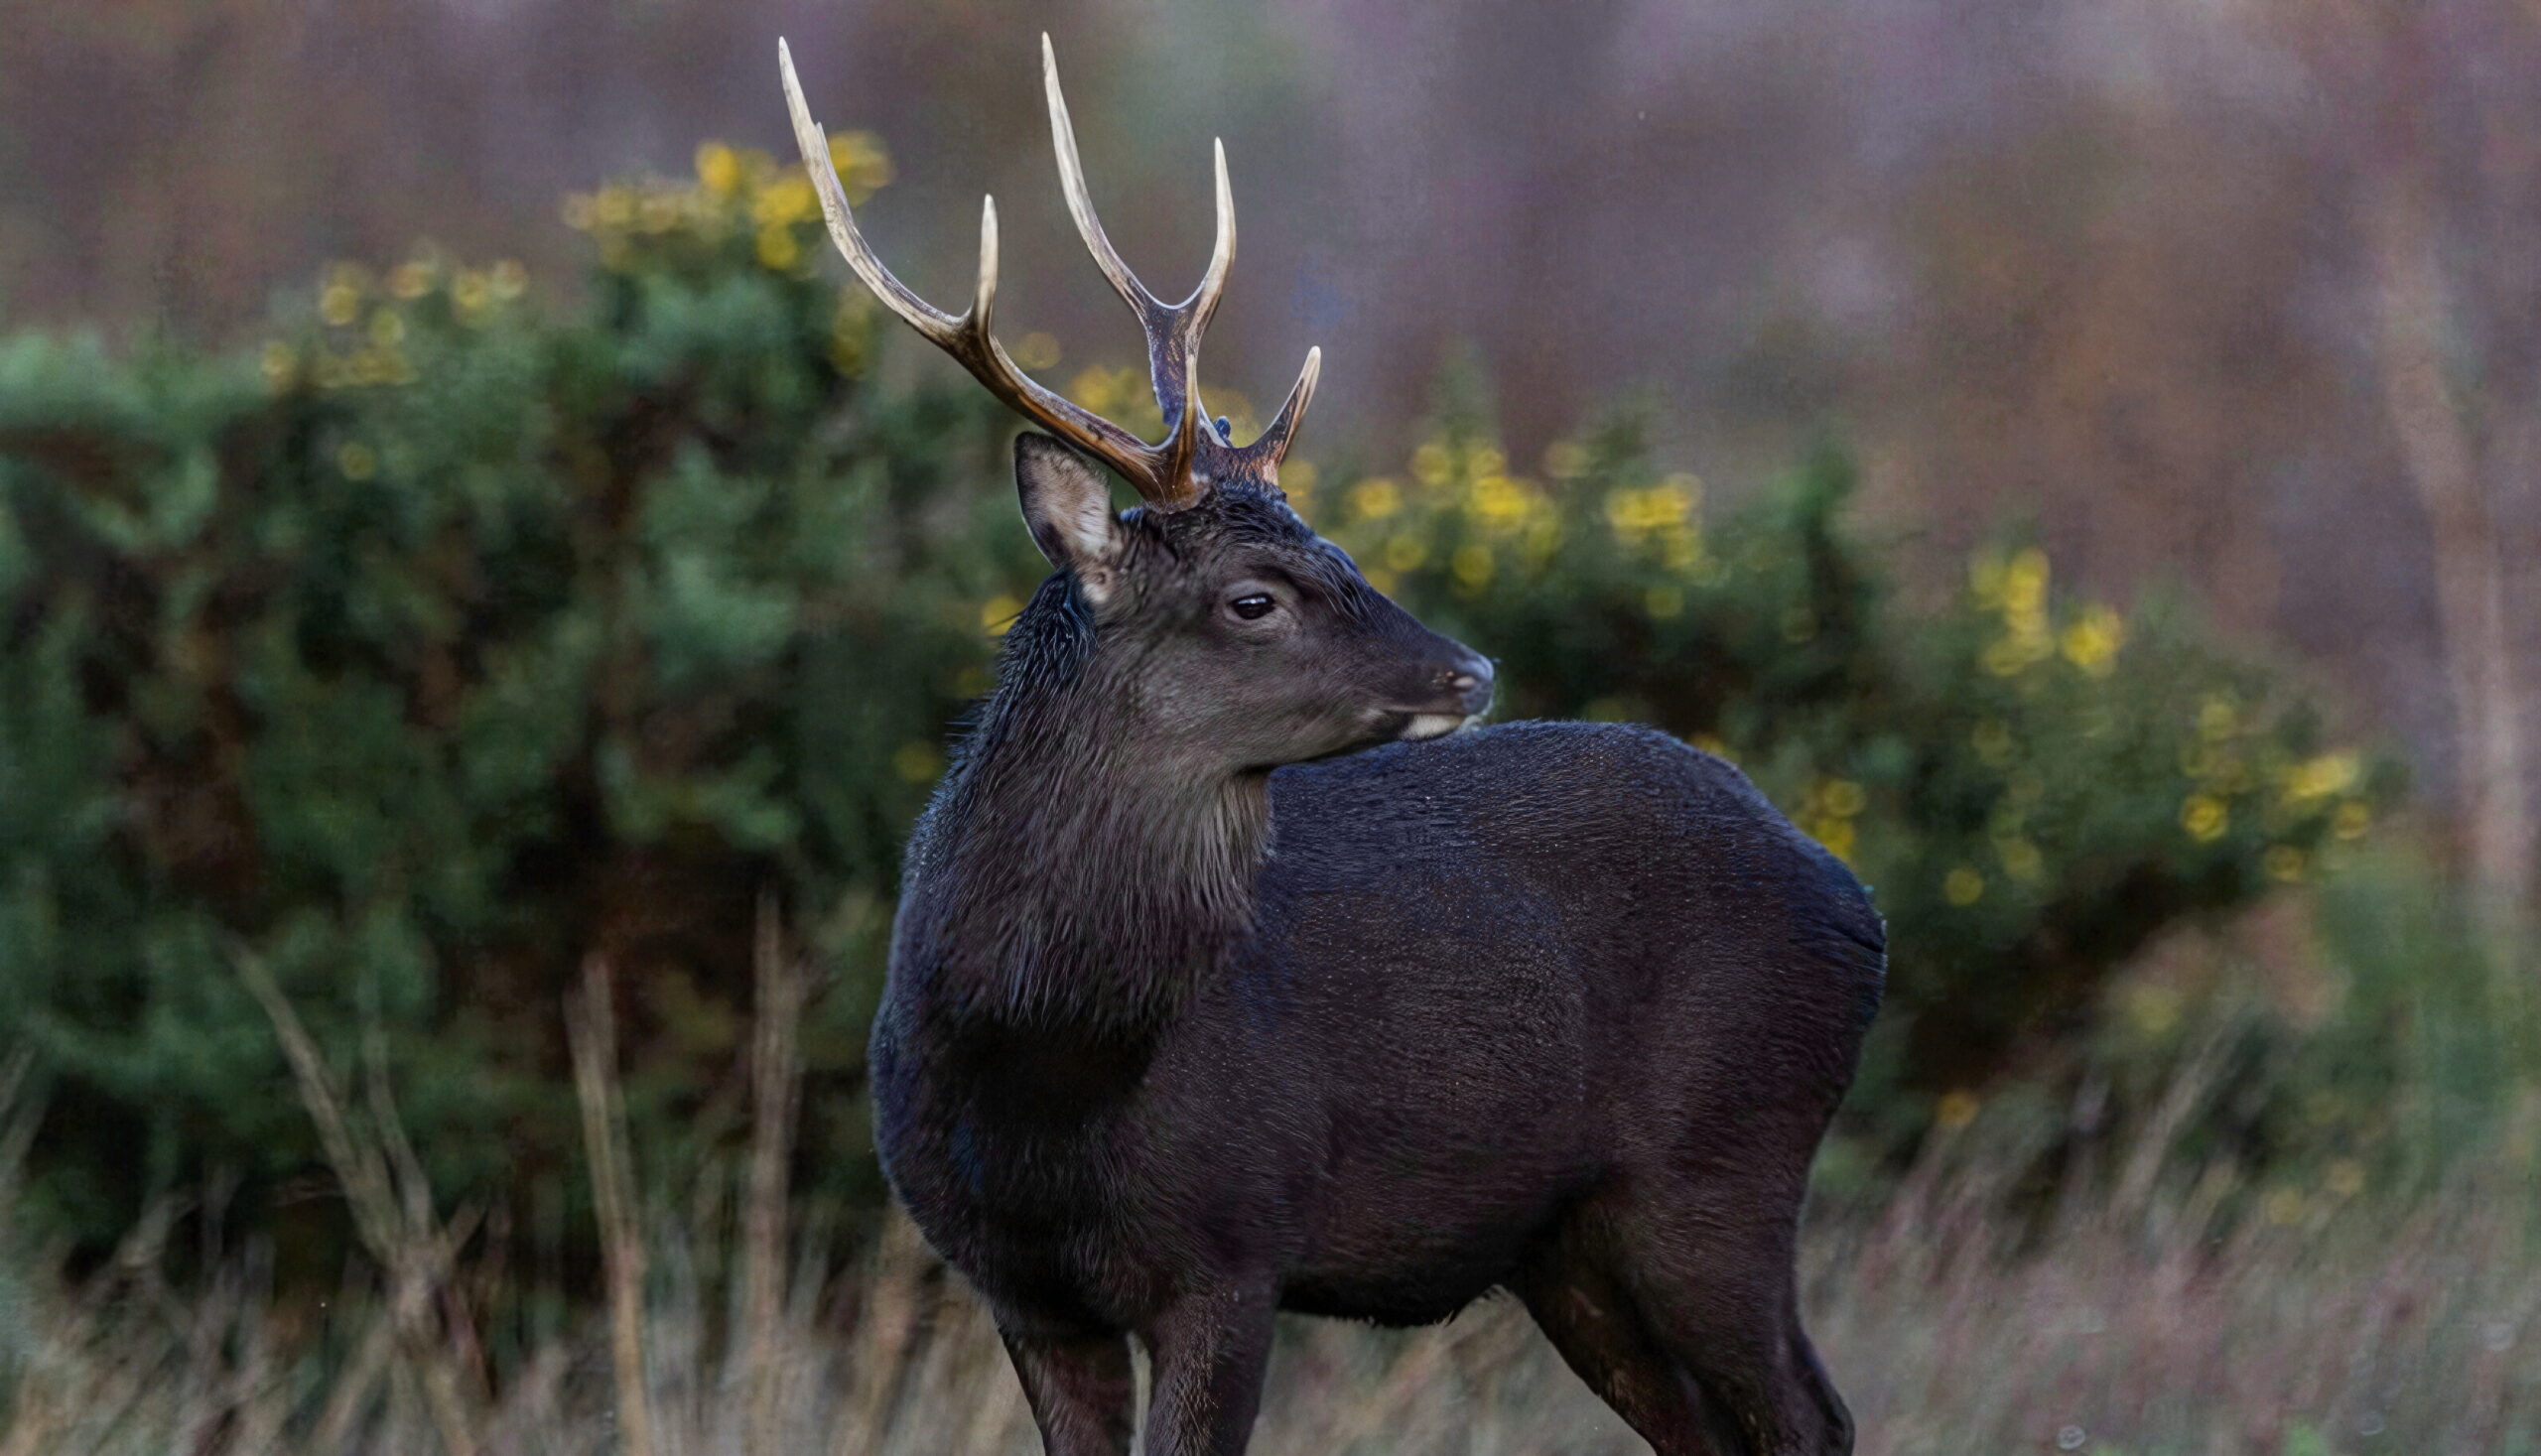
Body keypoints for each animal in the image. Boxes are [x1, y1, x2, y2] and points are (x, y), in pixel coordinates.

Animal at [778, 37, 1885, 1456]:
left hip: (1721, 1163)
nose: (1471, 668)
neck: (1040, 1066)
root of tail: (1858, 904)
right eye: (1255, 595)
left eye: (1339, 552)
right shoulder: (1015, 1289)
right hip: (1568, 1242)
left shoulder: (1231, 1241)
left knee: (1811, 1414)